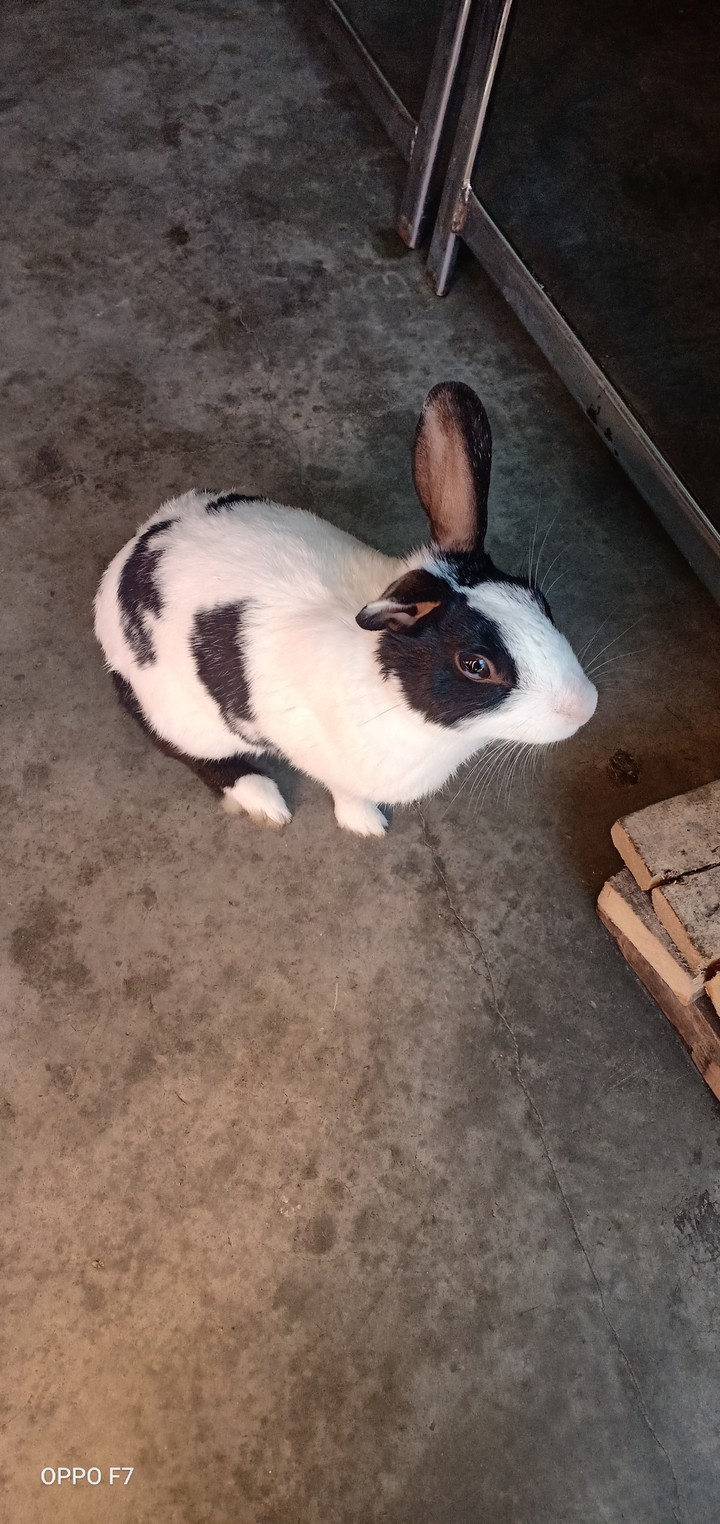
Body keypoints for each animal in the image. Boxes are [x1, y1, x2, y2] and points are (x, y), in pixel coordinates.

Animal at [94, 381, 597, 836]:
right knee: (180, 748)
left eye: (538, 599)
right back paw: (262, 800)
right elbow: (346, 792)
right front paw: (367, 824)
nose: (584, 708)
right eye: (475, 665)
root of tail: (125, 561)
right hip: (182, 716)